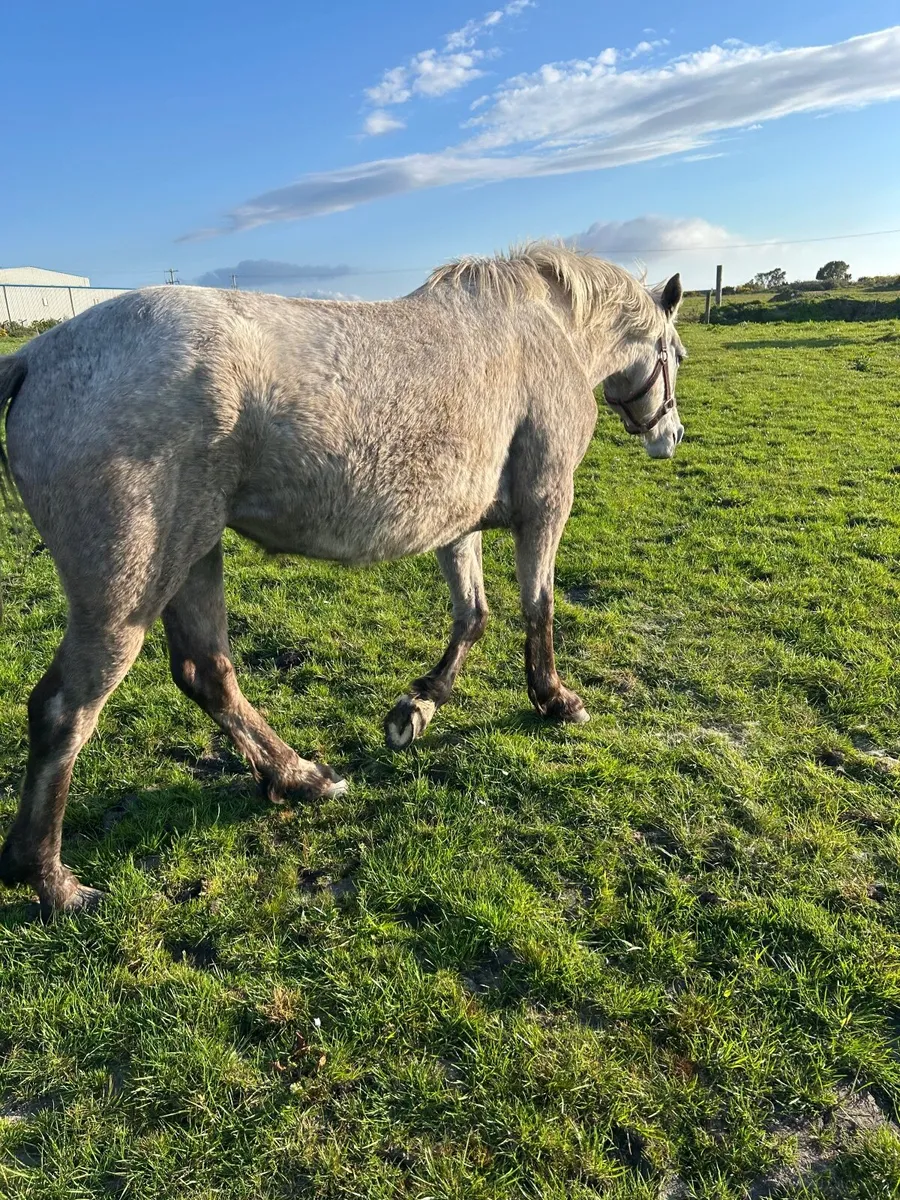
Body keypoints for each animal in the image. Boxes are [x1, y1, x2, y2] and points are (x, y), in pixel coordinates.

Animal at [0, 243, 685, 914]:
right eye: (675, 354)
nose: (670, 436)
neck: (547, 329)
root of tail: (35, 359)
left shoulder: (457, 521)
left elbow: (472, 616)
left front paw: (419, 706)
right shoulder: (546, 504)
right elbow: (537, 607)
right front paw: (554, 699)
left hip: (194, 557)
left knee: (207, 674)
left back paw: (298, 777)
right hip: (129, 593)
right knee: (64, 711)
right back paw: (53, 883)